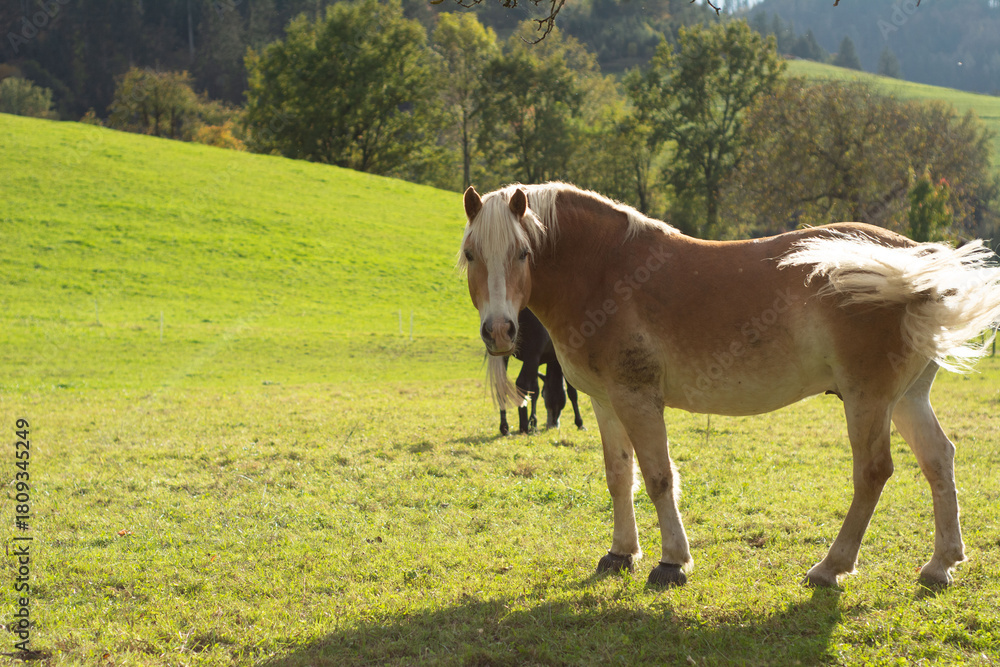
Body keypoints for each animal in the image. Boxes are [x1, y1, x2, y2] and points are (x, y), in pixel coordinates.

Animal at [459, 181, 1000, 589]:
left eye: (523, 253)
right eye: (470, 254)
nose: (500, 331)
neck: (606, 271)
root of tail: (915, 267)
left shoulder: (638, 399)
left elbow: (658, 478)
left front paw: (671, 562)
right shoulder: (605, 402)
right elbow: (619, 477)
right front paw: (621, 554)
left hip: (868, 400)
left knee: (872, 473)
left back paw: (831, 567)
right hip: (905, 400)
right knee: (938, 459)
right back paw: (941, 564)